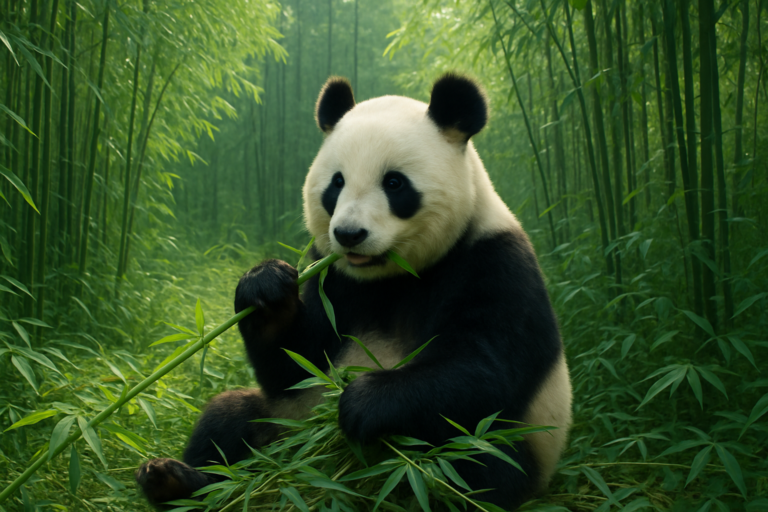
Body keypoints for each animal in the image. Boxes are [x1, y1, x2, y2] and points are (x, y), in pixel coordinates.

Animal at [136, 73, 572, 511]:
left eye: (394, 183)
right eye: (337, 183)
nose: (349, 234)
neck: (390, 277)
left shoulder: (494, 262)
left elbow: (485, 366)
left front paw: (362, 402)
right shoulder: (329, 276)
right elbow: (296, 365)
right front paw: (265, 287)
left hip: (508, 448)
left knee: (474, 465)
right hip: (282, 421)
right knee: (229, 417)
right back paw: (175, 481)